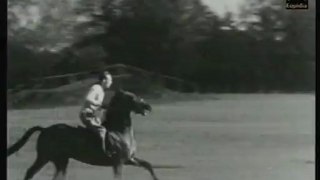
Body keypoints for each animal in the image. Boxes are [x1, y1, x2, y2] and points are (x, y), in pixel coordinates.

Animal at [8, 89, 160, 180]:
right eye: (132, 97)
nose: (148, 107)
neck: (119, 132)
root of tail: (45, 129)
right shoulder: (119, 162)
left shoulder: (129, 159)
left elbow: (148, 165)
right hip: (45, 157)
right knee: (30, 172)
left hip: (61, 160)